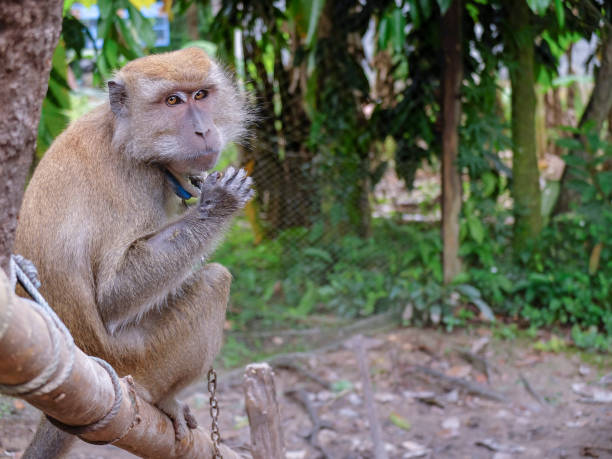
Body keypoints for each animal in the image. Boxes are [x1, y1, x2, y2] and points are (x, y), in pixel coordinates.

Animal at [14, 48, 253, 458]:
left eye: (200, 95)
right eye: (173, 101)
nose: (203, 130)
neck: (124, 136)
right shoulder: (134, 180)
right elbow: (112, 297)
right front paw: (218, 204)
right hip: (141, 362)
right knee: (215, 281)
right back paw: (166, 400)